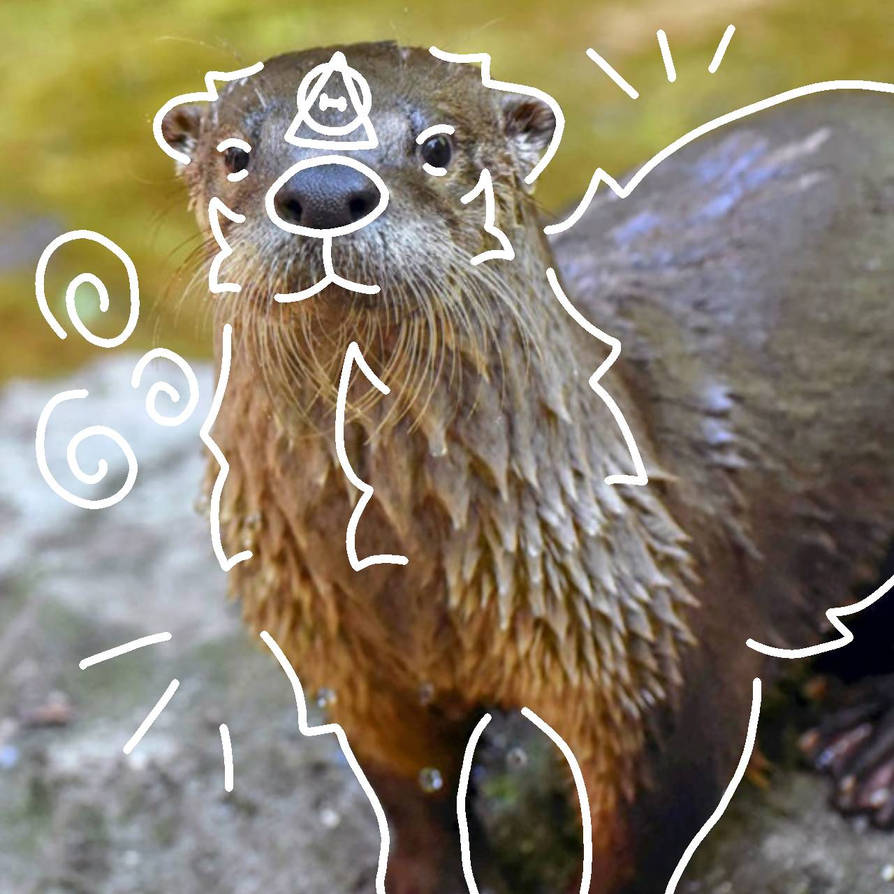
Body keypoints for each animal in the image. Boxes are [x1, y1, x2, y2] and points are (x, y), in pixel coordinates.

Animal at [160, 42, 894, 892]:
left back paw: (871, 750)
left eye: (436, 147)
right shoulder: (348, 663)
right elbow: (407, 801)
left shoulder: (651, 641)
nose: (323, 191)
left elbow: (649, 825)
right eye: (236, 155)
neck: (401, 571)